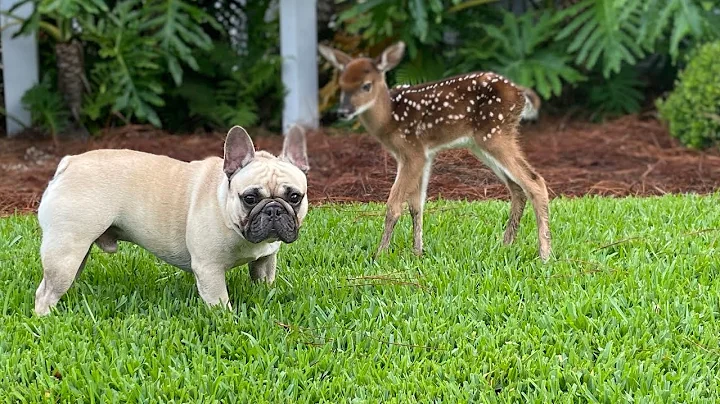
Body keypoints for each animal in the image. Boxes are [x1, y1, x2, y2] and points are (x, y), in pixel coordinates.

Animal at [320, 41, 552, 262]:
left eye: (366, 85)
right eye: (341, 86)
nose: (343, 112)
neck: (390, 119)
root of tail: (521, 94)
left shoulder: (412, 152)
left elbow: (394, 205)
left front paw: (380, 254)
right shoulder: (424, 155)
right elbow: (416, 205)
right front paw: (417, 252)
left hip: (495, 135)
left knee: (535, 181)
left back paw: (544, 255)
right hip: (481, 143)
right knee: (517, 187)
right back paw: (506, 245)